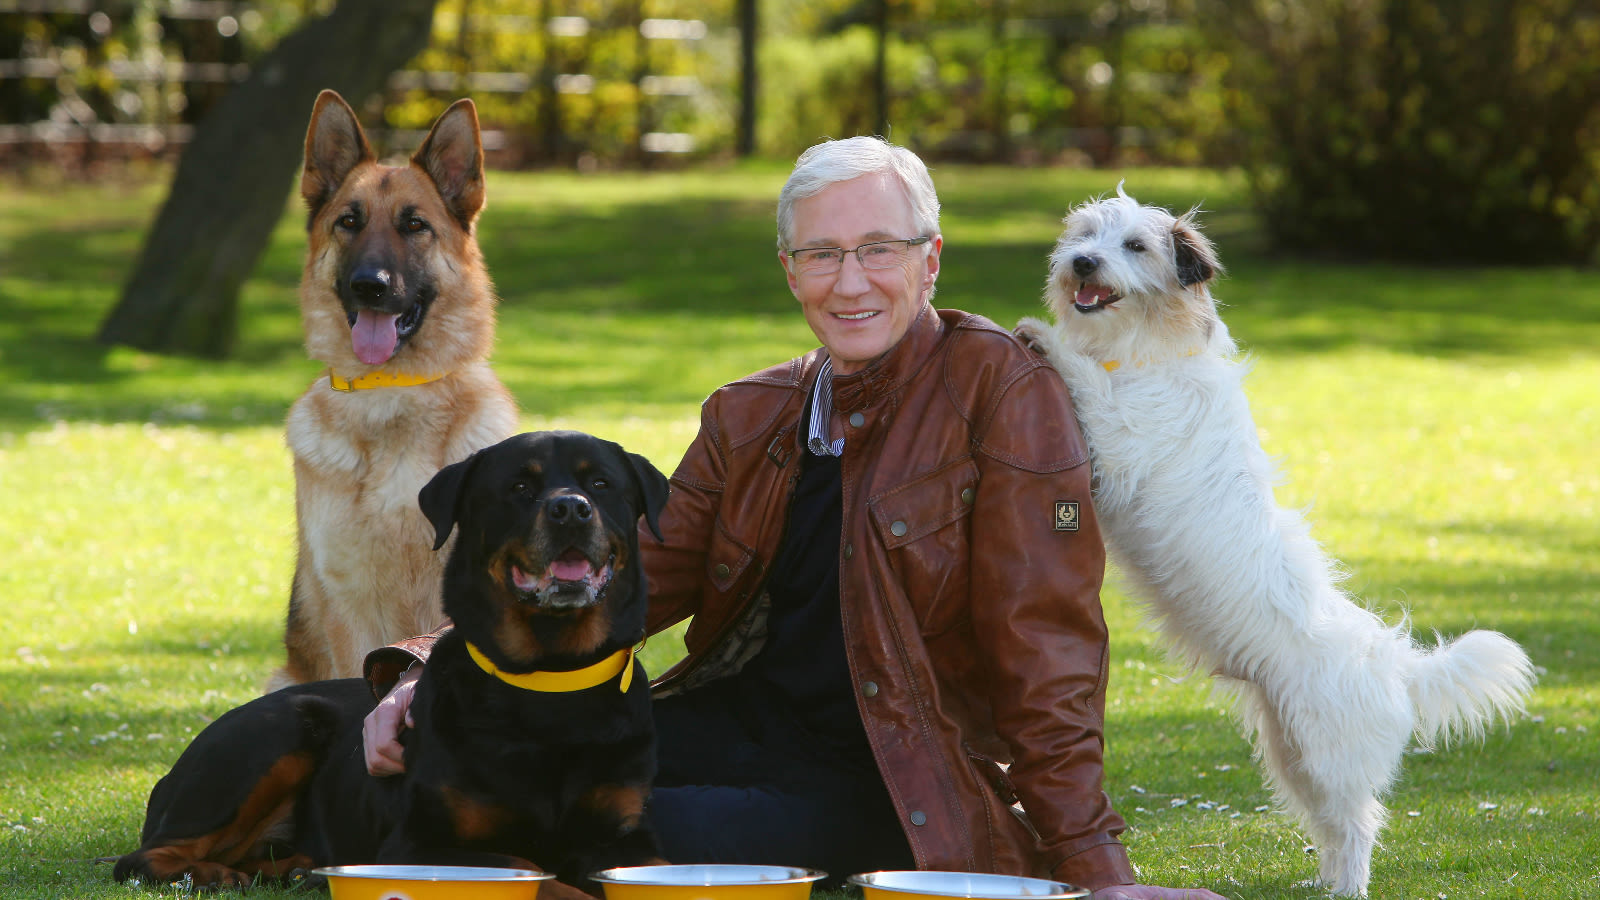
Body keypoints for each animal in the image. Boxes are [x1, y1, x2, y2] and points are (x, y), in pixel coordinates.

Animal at [112, 429, 672, 890]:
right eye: (519, 487)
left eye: (600, 483)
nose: (571, 509)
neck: (551, 679)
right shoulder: (417, 846)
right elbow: (532, 869)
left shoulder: (626, 837)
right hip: (271, 736)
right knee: (141, 859)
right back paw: (213, 873)